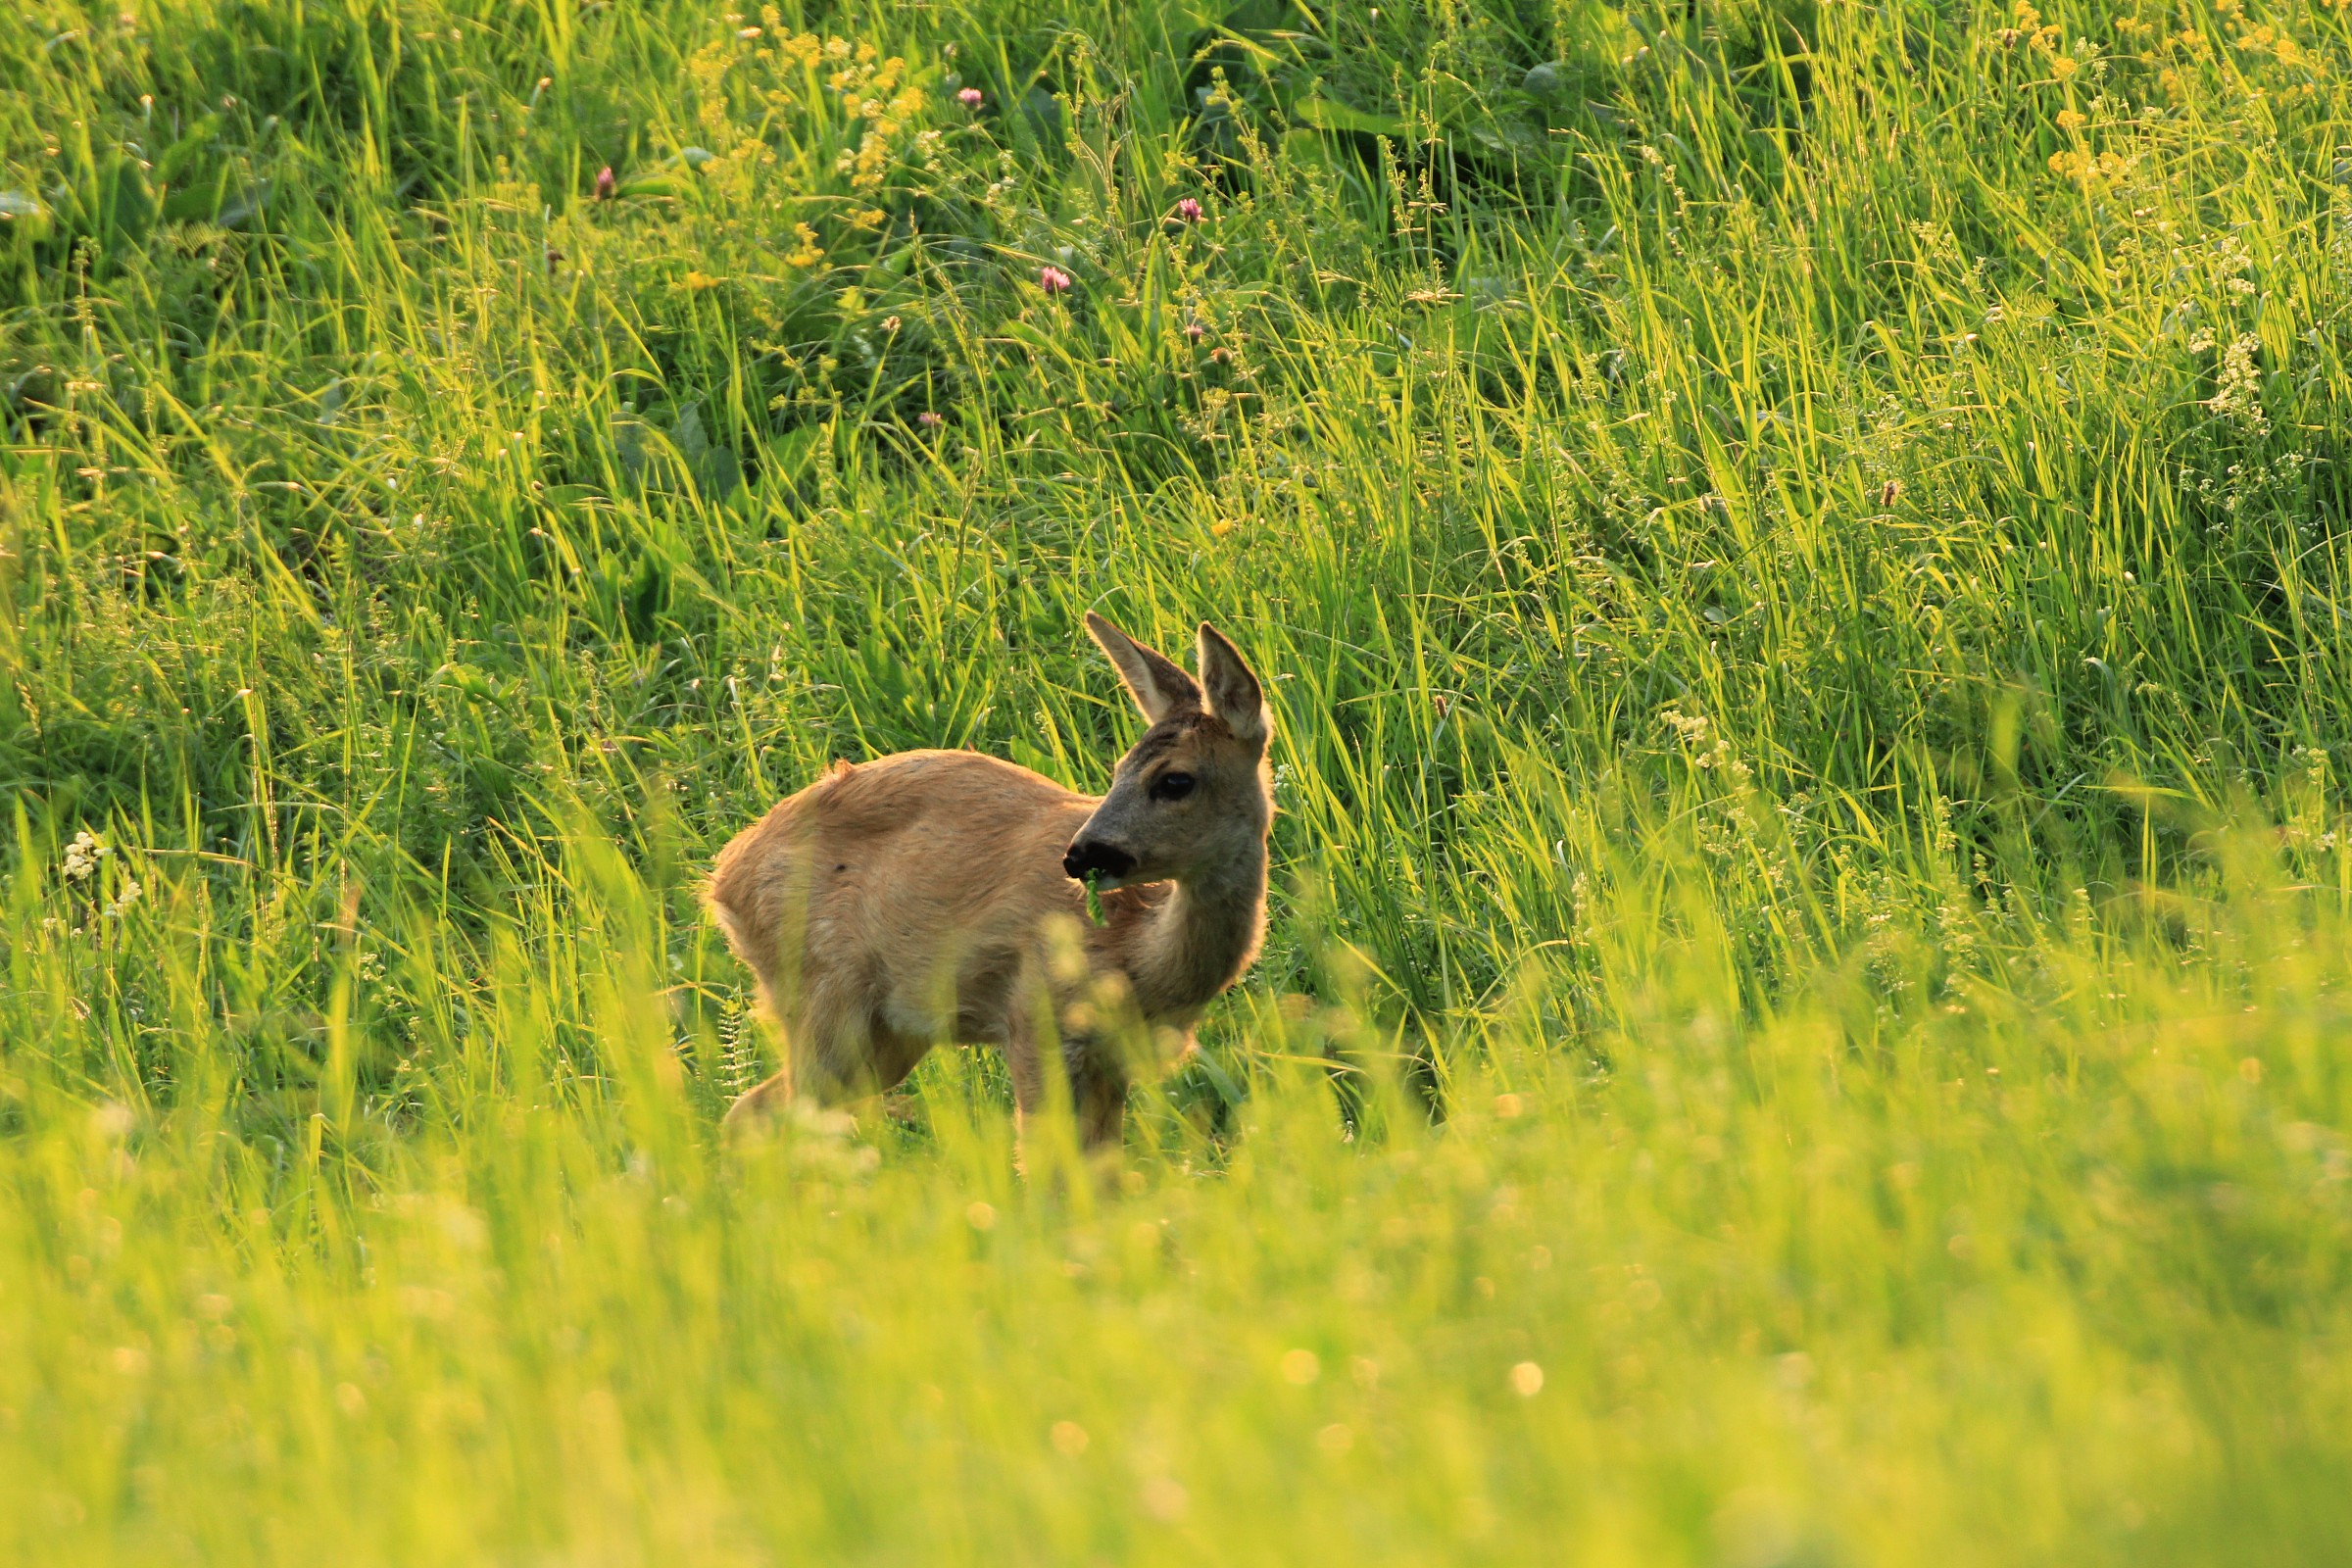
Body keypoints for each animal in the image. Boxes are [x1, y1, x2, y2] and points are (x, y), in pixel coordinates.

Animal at [706, 611, 1279, 1152]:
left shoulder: (1117, 1055)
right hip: (823, 996)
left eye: (1175, 780)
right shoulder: (1036, 1022)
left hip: (885, 1036)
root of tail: (723, 878)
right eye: (1117, 771)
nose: (1078, 855)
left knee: (756, 1111)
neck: (1138, 954)